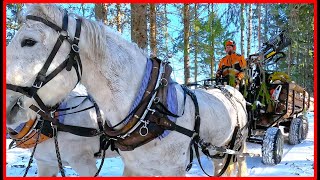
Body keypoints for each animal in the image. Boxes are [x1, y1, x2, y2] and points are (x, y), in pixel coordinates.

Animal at [6, 3, 248, 176]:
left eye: (29, 41)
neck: (150, 109)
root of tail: (229, 89)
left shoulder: (84, 162)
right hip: (217, 153)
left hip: (234, 149)